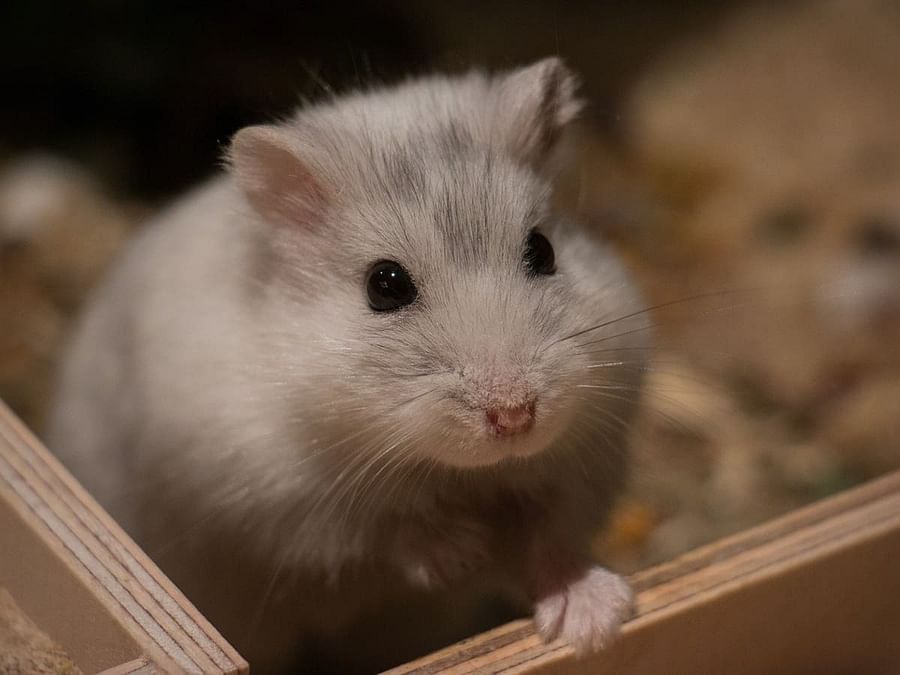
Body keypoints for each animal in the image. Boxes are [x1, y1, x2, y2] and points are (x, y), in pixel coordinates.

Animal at [47, 58, 648, 673]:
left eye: (543, 250)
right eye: (385, 285)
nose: (515, 416)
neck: (456, 471)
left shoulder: (581, 462)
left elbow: (552, 537)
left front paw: (593, 625)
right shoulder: (282, 501)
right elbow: (380, 529)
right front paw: (459, 550)